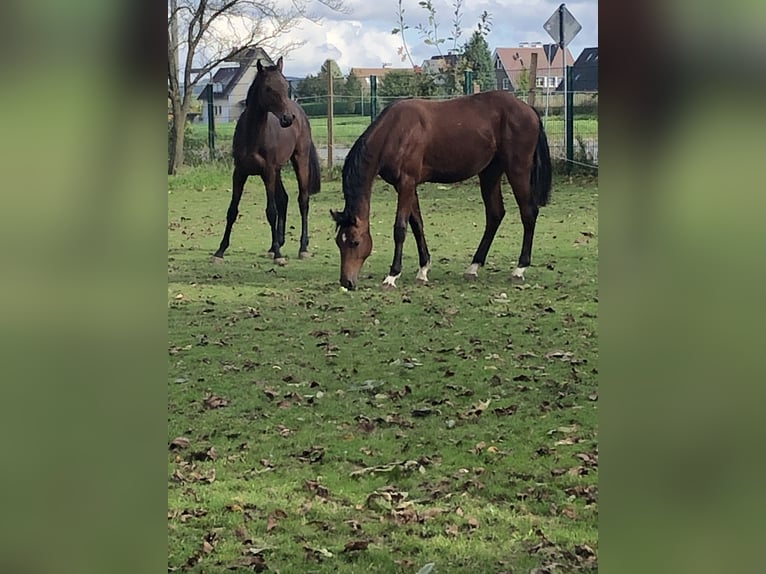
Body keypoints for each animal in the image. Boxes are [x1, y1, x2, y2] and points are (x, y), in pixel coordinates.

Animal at [214, 57, 322, 264]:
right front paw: (220, 251)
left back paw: (302, 248)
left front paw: (279, 255)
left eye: (286, 86)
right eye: (268, 89)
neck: (253, 135)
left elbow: (271, 211)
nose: (287, 118)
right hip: (277, 170)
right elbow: (232, 211)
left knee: (303, 201)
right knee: (284, 199)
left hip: (299, 161)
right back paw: (275, 245)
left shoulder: (268, 171)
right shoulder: (240, 173)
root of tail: (300, 113)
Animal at [330, 93, 552, 294]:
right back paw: (473, 266)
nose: (346, 282)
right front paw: (423, 270)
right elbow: (417, 225)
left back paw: (519, 268)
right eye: (338, 242)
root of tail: (529, 110)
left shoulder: (406, 183)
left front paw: (392, 275)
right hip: (490, 172)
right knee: (495, 214)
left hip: (517, 170)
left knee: (528, 213)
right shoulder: (407, 186)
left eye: (355, 242)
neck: (396, 131)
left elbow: (400, 228)